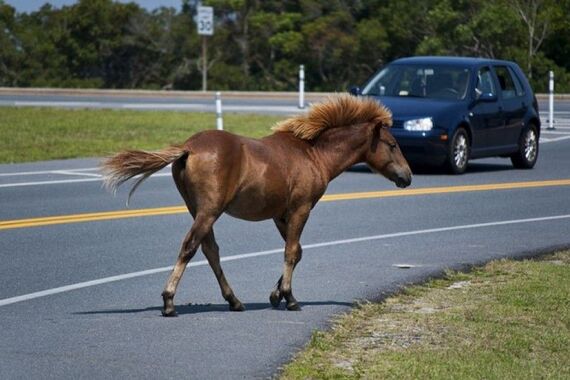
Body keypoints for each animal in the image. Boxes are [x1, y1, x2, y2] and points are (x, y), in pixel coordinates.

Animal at [102, 93, 410, 316]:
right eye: (392, 144)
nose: (407, 177)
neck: (313, 154)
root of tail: (188, 147)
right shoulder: (301, 209)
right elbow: (291, 252)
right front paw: (290, 299)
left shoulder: (280, 214)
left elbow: (297, 251)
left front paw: (277, 295)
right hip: (209, 211)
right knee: (190, 247)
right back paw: (169, 302)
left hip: (199, 210)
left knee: (210, 250)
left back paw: (234, 301)